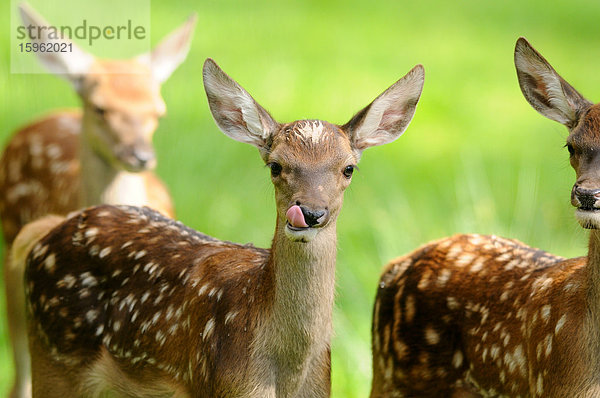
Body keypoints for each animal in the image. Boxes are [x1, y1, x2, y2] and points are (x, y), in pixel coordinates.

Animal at [12, 59, 426, 398]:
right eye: (276, 166)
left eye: (348, 168)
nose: (309, 213)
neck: (287, 374)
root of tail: (48, 231)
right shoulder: (224, 387)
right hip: (53, 356)